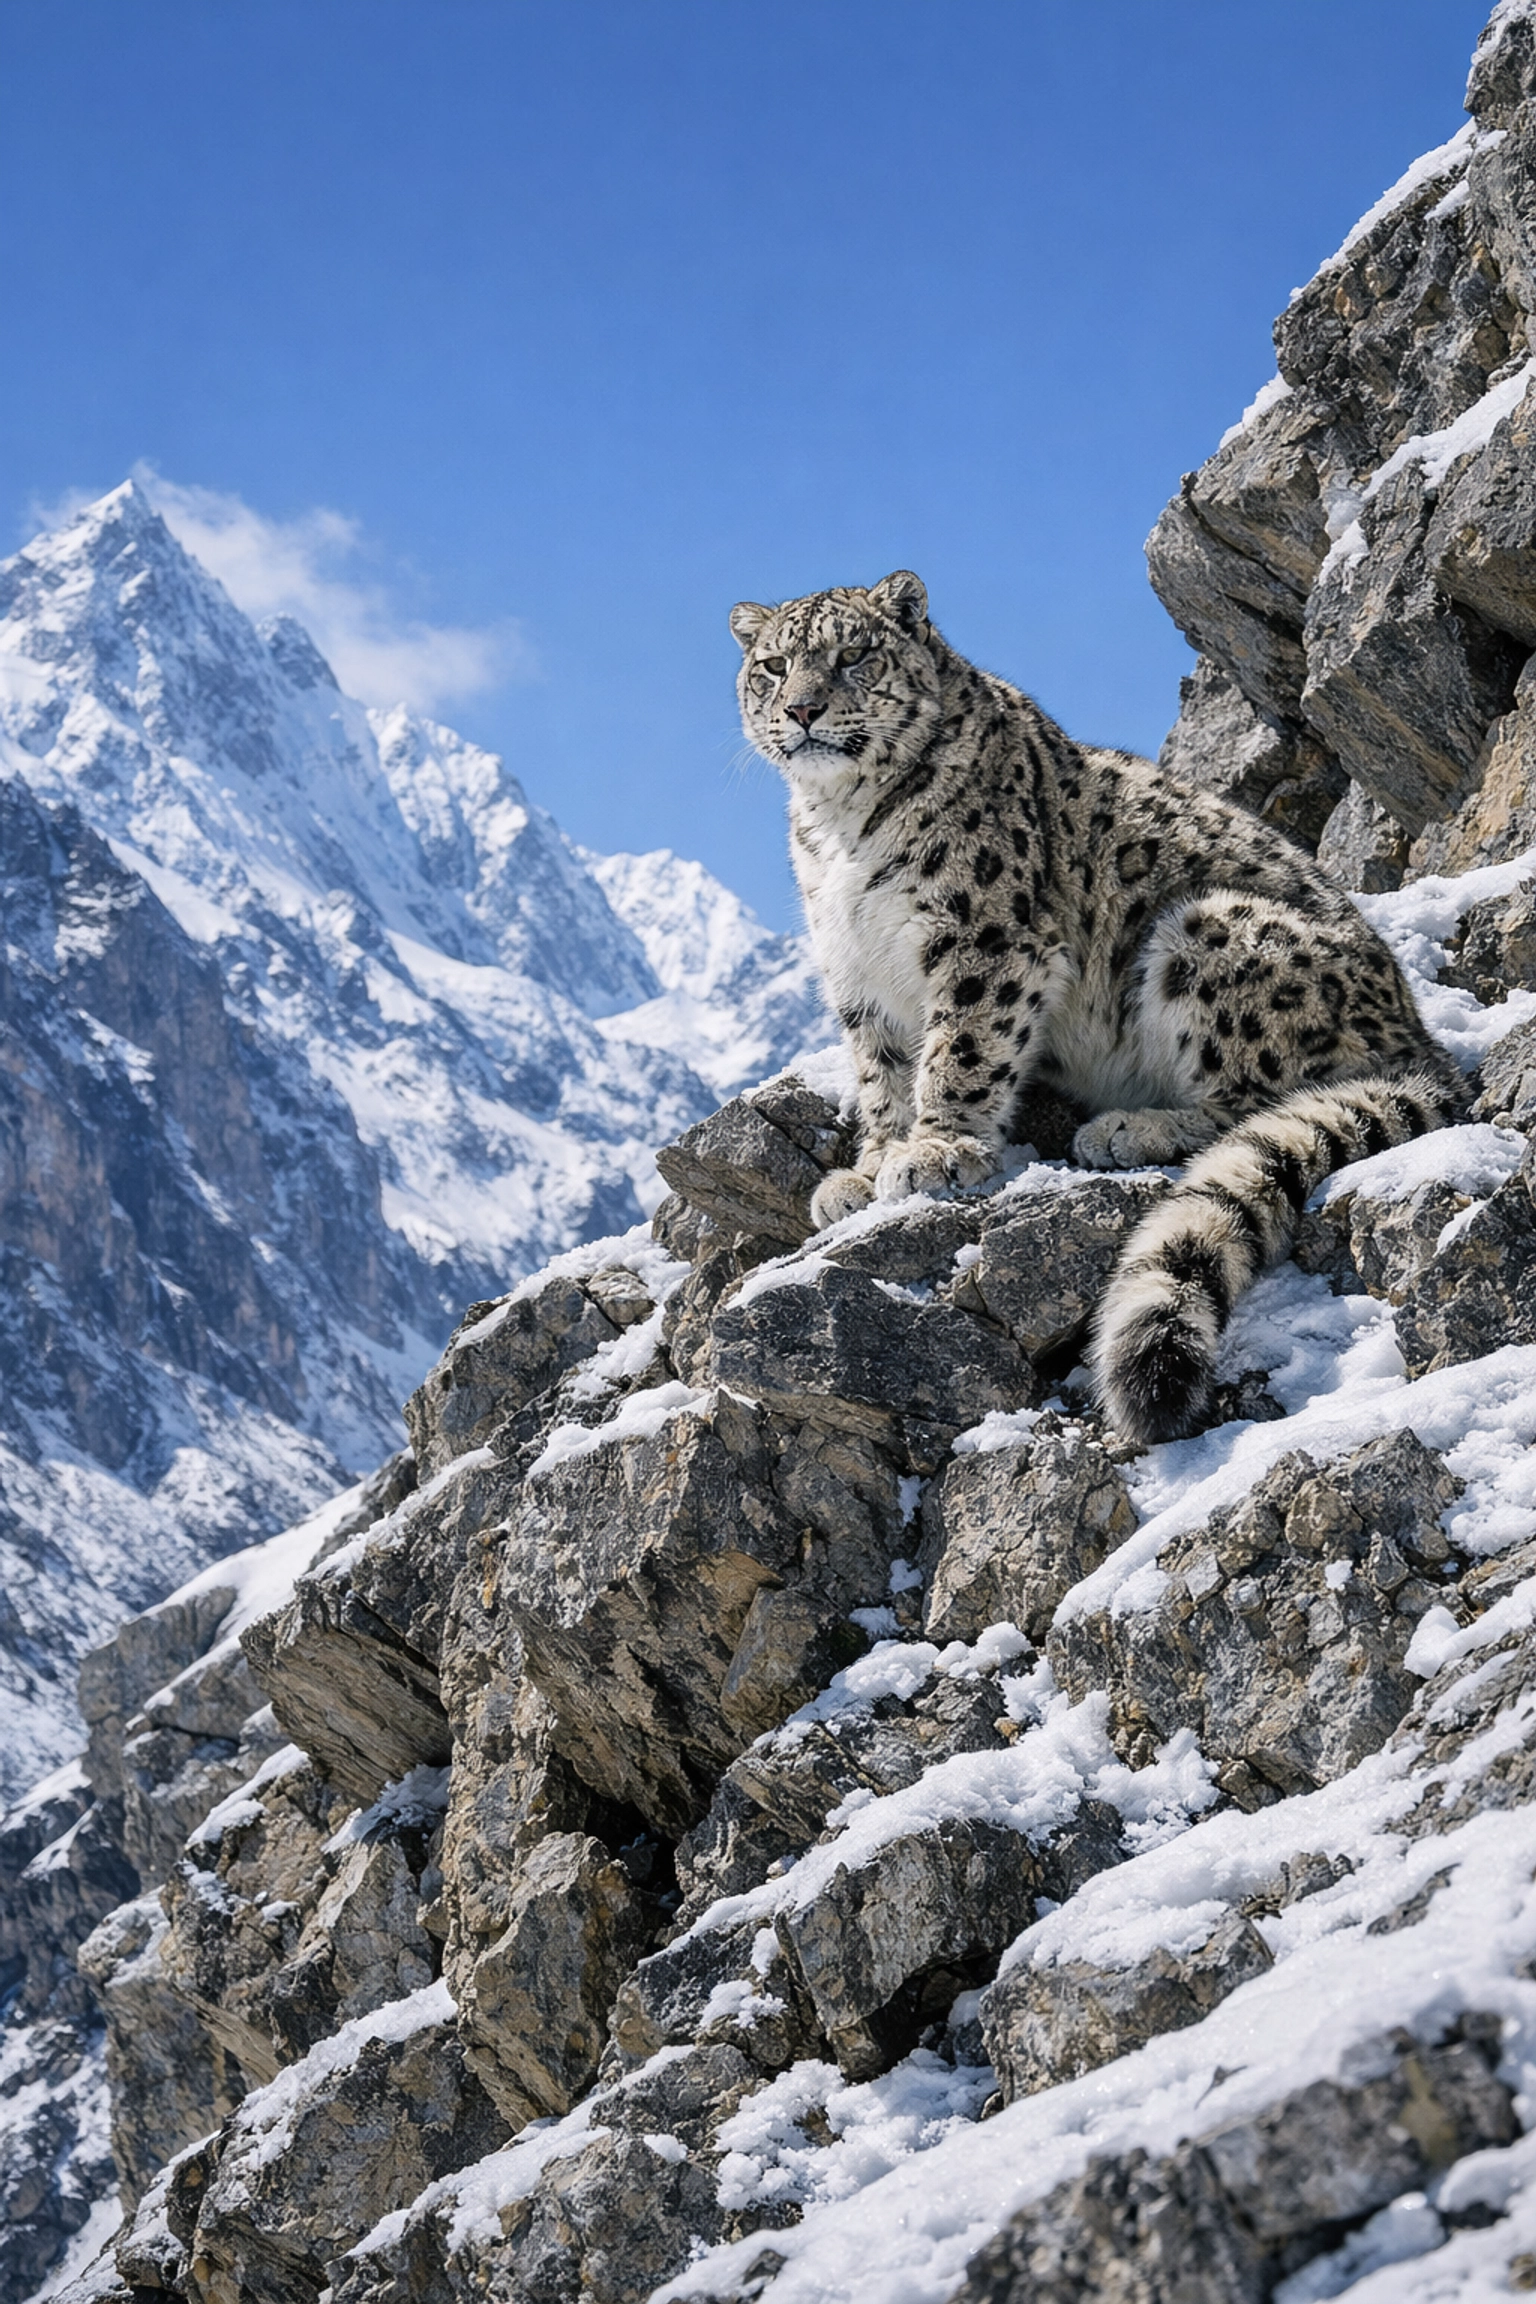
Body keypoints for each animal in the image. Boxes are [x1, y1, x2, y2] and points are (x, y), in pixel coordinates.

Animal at [730, 568, 1464, 1447]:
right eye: (773, 665)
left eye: (854, 655)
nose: (803, 708)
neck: (839, 827)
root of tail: (1422, 1040)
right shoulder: (859, 978)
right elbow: (882, 1075)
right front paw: (869, 1165)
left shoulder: (985, 938)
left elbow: (961, 1050)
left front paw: (934, 1150)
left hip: (1207, 934)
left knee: (1266, 1098)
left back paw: (1125, 1129)